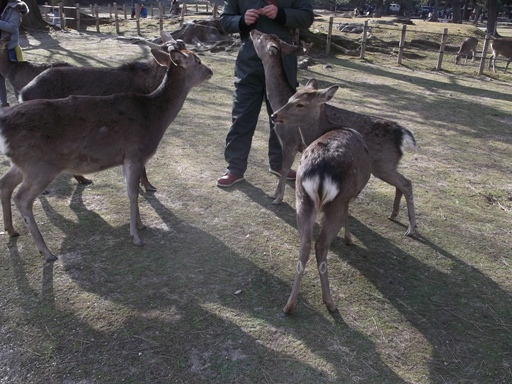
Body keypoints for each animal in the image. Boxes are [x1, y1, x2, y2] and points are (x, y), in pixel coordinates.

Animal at [20, 30, 188, 192]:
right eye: (172, 50)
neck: (150, 89)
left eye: (184, 46)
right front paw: (147, 186)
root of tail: (23, 93)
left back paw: (83, 179)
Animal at [250, 30, 418, 236]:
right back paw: (394, 214)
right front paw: (275, 195)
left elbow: (283, 171)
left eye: (261, 38)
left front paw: (276, 198)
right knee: (401, 184)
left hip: (382, 163)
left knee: (406, 183)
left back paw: (411, 228)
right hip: (386, 164)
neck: (278, 102)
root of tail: (401, 133)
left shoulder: (290, 142)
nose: (252, 31)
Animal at [272, 82, 372, 314]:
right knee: (320, 245)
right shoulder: (351, 194)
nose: (274, 115)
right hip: (336, 201)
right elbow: (349, 214)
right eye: (290, 98)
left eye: (299, 103)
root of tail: (320, 170)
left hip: (302, 197)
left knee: (305, 243)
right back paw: (330, 302)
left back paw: (289, 305)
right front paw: (349, 238)